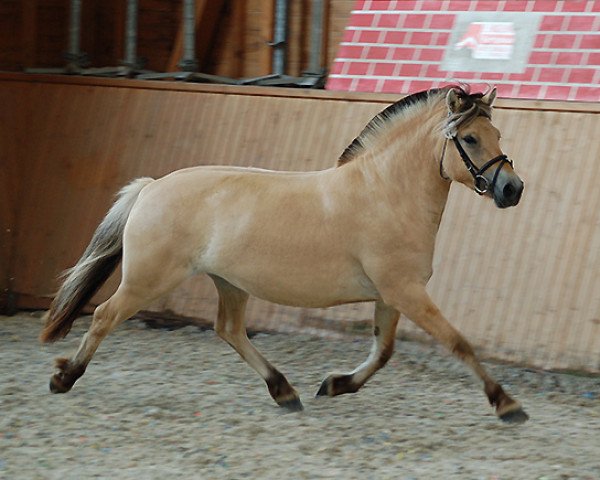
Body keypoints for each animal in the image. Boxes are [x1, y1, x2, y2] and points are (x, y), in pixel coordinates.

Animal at [42, 86, 528, 424]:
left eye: (497, 133)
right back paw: (64, 377)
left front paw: (335, 385)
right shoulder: (405, 292)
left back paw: (284, 391)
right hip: (149, 279)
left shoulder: (392, 295)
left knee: (229, 329)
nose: (513, 189)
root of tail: (151, 186)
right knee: (104, 315)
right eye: (470, 138)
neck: (385, 193)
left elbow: (384, 350)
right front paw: (507, 404)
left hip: (229, 283)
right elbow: (457, 342)